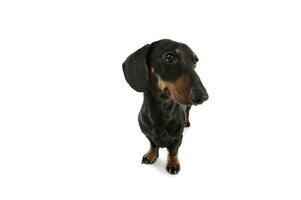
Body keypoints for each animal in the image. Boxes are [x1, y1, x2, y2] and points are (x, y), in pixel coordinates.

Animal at [123, 38, 207, 173]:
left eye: (194, 61)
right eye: (169, 57)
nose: (203, 96)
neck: (161, 112)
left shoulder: (178, 138)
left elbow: (173, 152)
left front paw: (173, 164)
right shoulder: (148, 135)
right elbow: (153, 145)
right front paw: (151, 155)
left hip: (188, 107)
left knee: (187, 113)